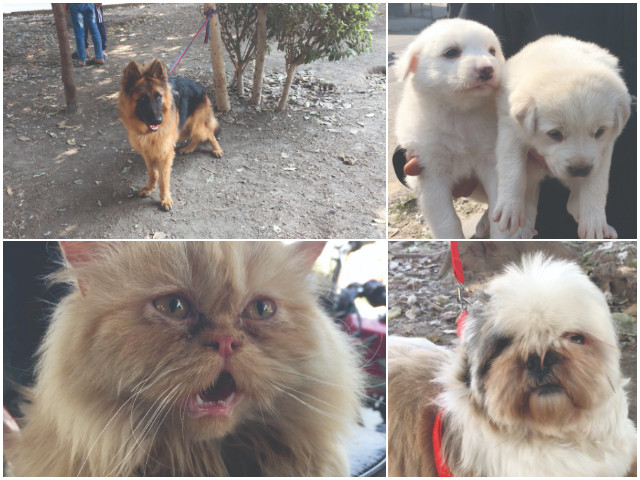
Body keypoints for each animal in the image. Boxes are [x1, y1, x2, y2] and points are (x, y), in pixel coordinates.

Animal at [119, 59, 224, 211]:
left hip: (194, 126)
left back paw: (217, 149)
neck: (149, 134)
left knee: (209, 133)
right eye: (143, 99)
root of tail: (198, 86)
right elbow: (153, 173)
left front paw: (165, 199)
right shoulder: (147, 153)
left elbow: (163, 180)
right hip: (183, 128)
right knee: (197, 137)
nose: (158, 120)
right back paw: (188, 148)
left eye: (158, 96)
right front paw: (149, 189)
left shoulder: (165, 154)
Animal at [396, 18, 504, 240]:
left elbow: (499, 205)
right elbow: (446, 221)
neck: (460, 114)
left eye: (492, 51)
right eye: (451, 52)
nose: (487, 69)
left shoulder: (491, 160)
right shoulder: (429, 173)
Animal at [492, 36, 632, 240]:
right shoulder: (510, 129)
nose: (580, 169)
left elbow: (596, 183)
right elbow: (513, 169)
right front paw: (509, 208)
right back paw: (522, 230)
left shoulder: (603, 150)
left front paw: (595, 222)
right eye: (555, 134)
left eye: (599, 132)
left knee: (572, 201)